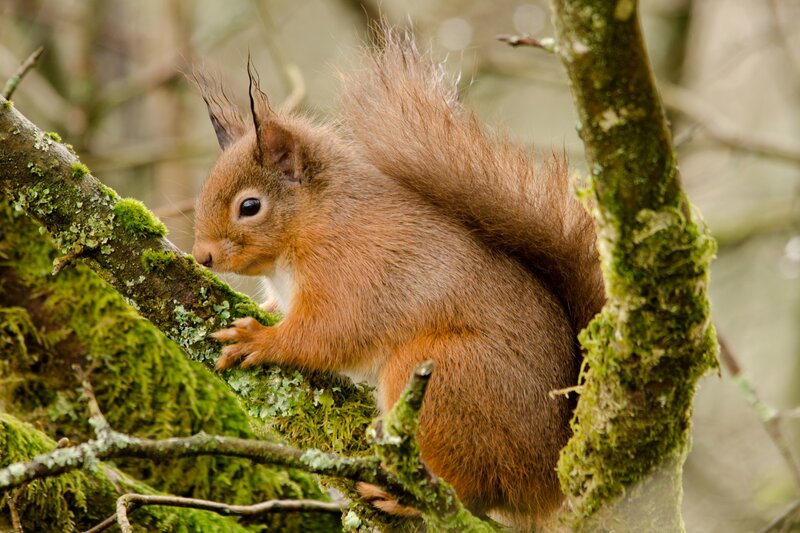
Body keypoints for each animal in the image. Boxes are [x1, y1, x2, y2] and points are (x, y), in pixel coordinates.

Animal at [192, 30, 604, 528]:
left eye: (249, 206)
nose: (202, 255)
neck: (316, 221)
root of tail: (548, 478)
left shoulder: (352, 271)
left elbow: (329, 333)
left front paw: (261, 339)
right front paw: (266, 314)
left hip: (445, 380)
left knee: (468, 487)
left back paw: (401, 497)